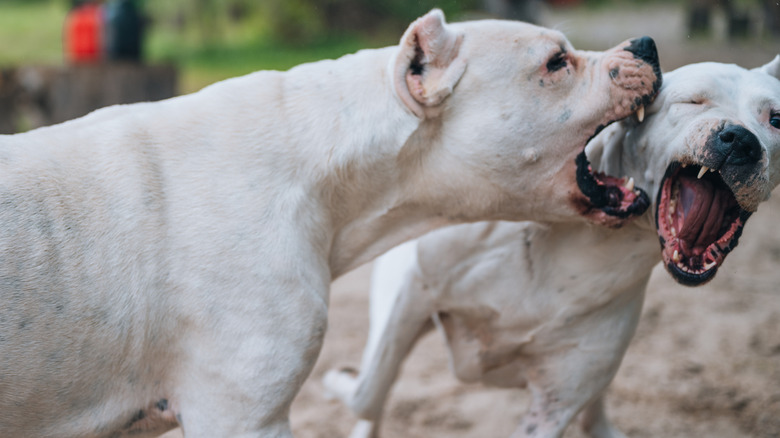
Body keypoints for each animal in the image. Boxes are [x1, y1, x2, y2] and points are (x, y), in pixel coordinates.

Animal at [322, 57, 780, 438]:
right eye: (693, 101)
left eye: (775, 118)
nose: (739, 140)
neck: (587, 240)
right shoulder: (414, 290)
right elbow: (367, 392)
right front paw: (340, 381)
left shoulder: (555, 404)